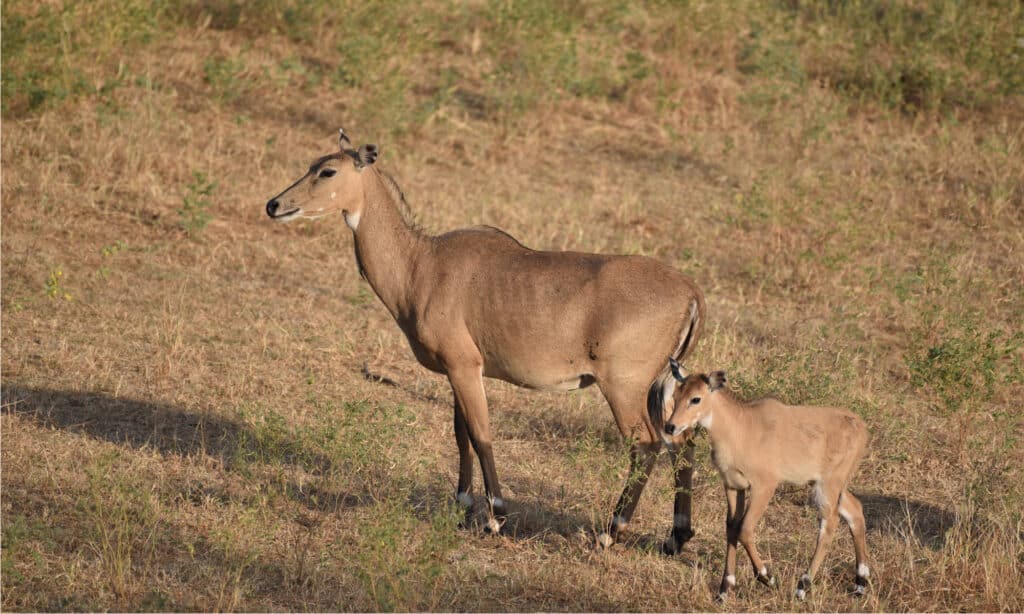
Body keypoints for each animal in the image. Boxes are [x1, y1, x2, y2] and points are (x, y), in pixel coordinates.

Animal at [266, 130, 704, 548]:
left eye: (328, 171)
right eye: (312, 164)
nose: (274, 204)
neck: (420, 264)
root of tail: (691, 291)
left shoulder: (464, 364)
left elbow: (480, 435)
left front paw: (496, 517)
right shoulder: (456, 370)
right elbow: (460, 434)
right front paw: (463, 507)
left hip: (623, 385)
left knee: (646, 444)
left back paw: (611, 531)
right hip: (664, 385)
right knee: (680, 441)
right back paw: (675, 538)